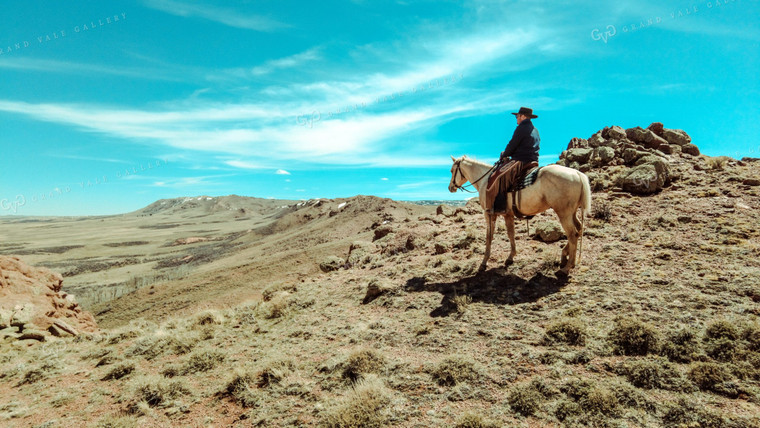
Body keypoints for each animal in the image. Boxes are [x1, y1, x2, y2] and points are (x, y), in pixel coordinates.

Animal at [448, 156, 592, 274]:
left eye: (451, 170)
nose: (450, 188)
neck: (485, 180)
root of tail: (577, 173)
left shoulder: (489, 214)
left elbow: (489, 237)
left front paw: (484, 263)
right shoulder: (508, 215)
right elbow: (511, 233)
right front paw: (510, 257)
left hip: (564, 213)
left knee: (572, 234)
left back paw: (567, 267)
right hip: (572, 212)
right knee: (579, 229)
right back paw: (564, 256)